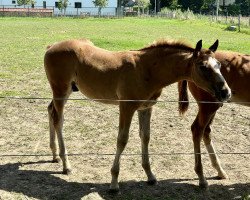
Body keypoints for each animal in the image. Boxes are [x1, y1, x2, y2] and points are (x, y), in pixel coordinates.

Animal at [44, 38, 230, 191]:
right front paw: (114, 182)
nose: (226, 92)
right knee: (58, 120)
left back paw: (55, 155)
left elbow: (145, 136)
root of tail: (51, 46)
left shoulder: (145, 108)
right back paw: (66, 165)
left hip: (67, 91)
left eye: (219, 65)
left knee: (51, 111)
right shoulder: (126, 107)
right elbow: (122, 140)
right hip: (60, 90)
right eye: (203, 66)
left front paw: (150, 176)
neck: (146, 69)